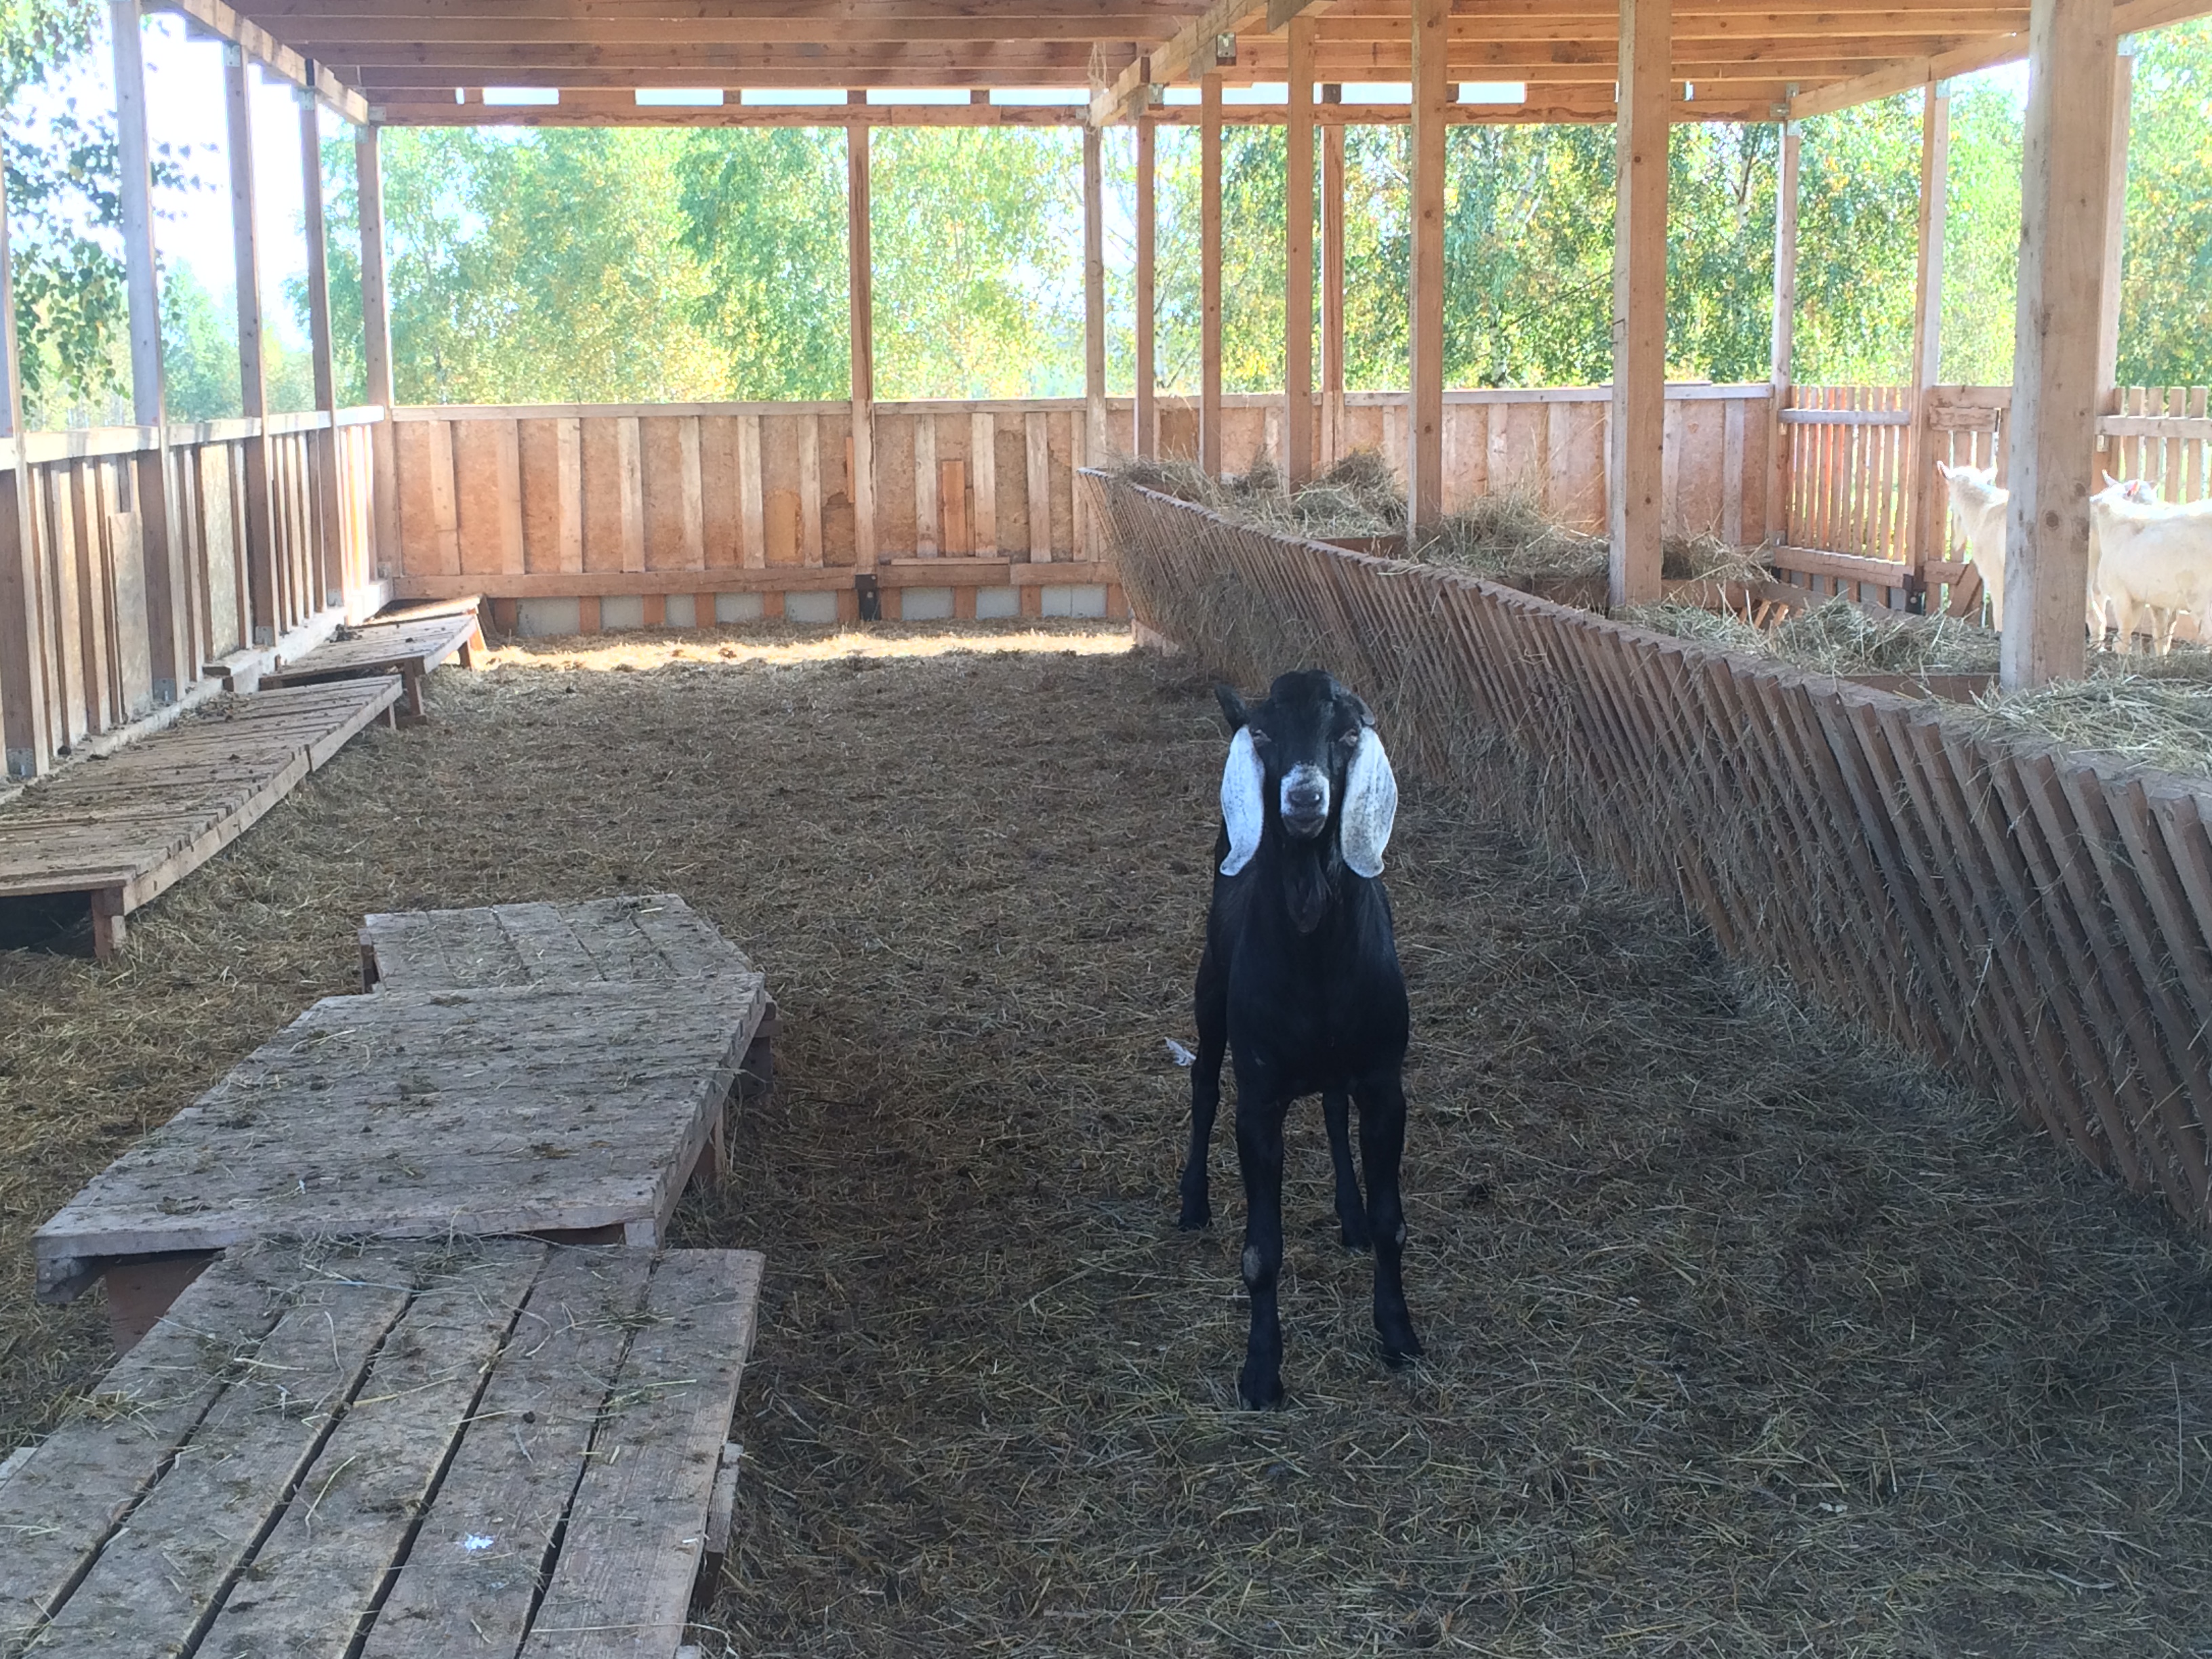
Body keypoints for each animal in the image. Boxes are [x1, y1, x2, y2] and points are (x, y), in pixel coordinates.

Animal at [1178, 670, 1420, 1409]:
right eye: (1261, 735)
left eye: (1346, 735)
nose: (1305, 797)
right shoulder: (1259, 1098)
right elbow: (1262, 1250)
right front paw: (1261, 1373)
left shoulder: (1384, 1081)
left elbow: (1393, 1223)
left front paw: (1399, 1335)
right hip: (1211, 994)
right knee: (1202, 1083)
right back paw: (1192, 1202)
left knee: (1334, 1109)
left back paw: (1349, 1216)